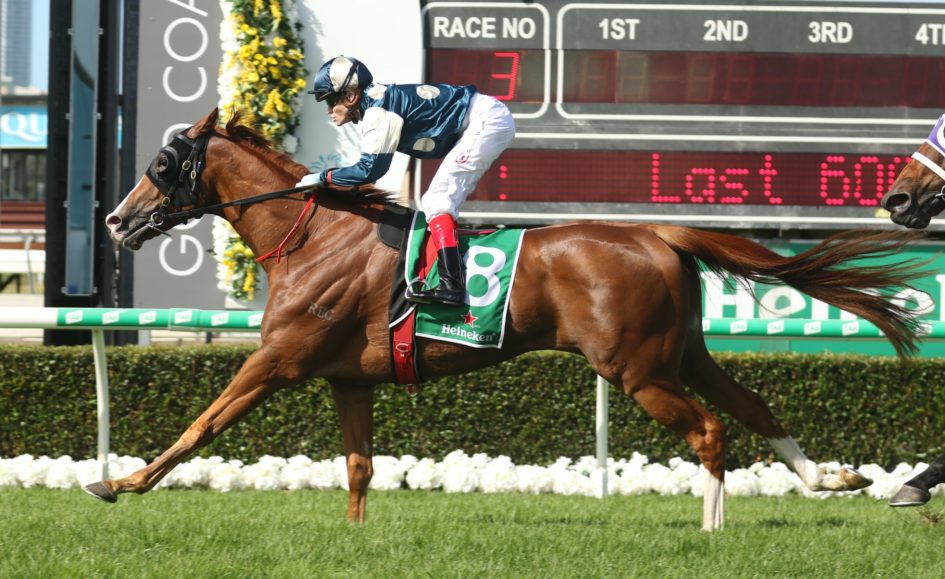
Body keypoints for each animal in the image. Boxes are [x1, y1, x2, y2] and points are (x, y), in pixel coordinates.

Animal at [89, 108, 928, 531]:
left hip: (636, 368)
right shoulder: (346, 379)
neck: (315, 234)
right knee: (750, 405)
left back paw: (711, 526)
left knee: (708, 429)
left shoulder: (277, 360)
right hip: (682, 351)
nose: (115, 219)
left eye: (163, 165)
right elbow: (358, 466)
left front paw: (119, 481)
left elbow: (200, 425)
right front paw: (357, 537)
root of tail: (657, 233)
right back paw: (830, 476)